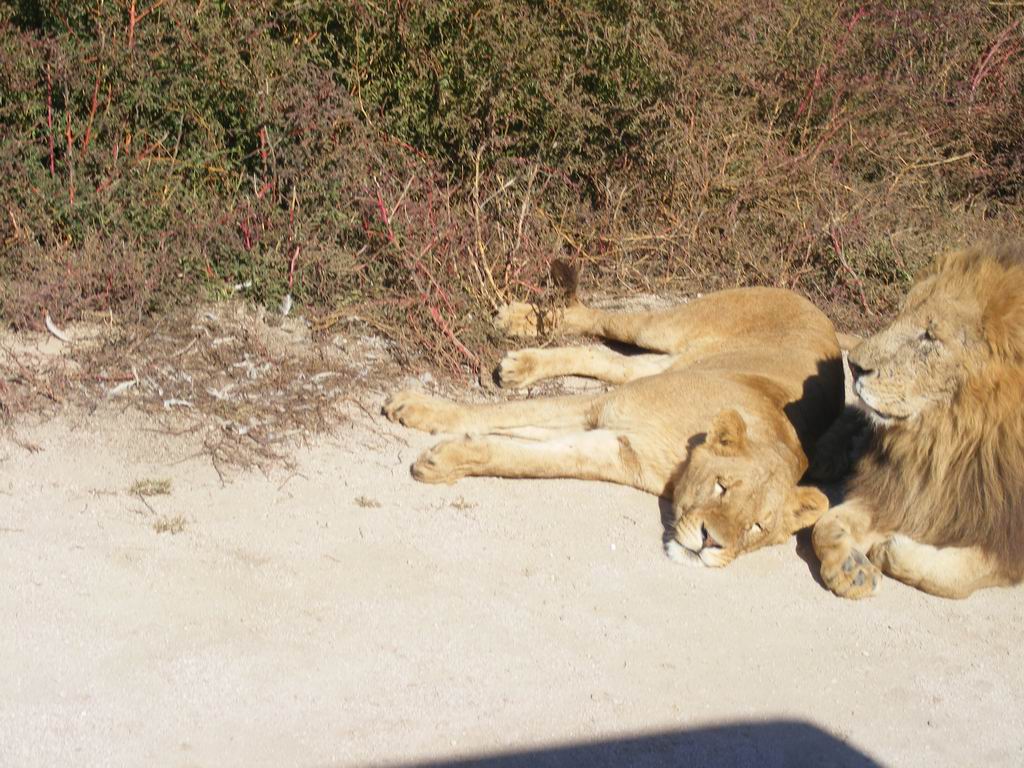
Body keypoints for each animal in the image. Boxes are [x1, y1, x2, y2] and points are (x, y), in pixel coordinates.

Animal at [383, 285, 844, 567]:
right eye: (722, 487)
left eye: (757, 527)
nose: (712, 542)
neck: (680, 462)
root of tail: (819, 312)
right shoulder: (602, 405)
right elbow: (497, 417)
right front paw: (418, 409)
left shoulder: (616, 449)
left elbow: (525, 455)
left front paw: (451, 456)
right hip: (664, 327)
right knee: (596, 319)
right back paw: (518, 321)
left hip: (665, 363)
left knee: (609, 359)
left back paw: (521, 365)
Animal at [812, 243, 1024, 599]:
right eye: (900, 314)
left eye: (930, 336)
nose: (853, 366)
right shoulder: (903, 491)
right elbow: (824, 524)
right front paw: (850, 569)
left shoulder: (1002, 528)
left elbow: (958, 577)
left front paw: (890, 548)